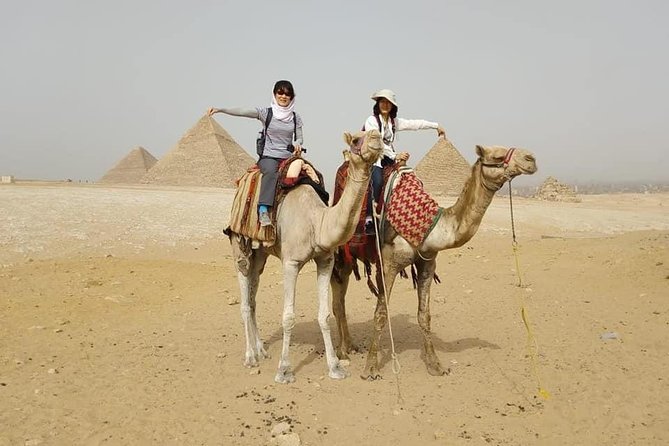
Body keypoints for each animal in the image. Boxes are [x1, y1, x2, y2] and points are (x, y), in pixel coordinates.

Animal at [228, 129, 382, 384]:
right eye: (355, 139)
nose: (377, 136)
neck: (317, 222)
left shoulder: (326, 260)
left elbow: (324, 315)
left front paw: (335, 367)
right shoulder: (290, 262)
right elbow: (288, 316)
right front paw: (284, 371)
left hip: (261, 254)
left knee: (253, 294)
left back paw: (261, 349)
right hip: (239, 242)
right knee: (243, 289)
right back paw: (250, 357)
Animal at [331, 144, 537, 379]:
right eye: (497, 155)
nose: (531, 159)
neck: (430, 224)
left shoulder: (427, 263)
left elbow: (424, 315)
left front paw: (435, 365)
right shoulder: (388, 264)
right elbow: (381, 314)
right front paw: (371, 368)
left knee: (340, 300)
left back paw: (349, 347)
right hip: (341, 254)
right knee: (337, 301)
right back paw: (342, 352)